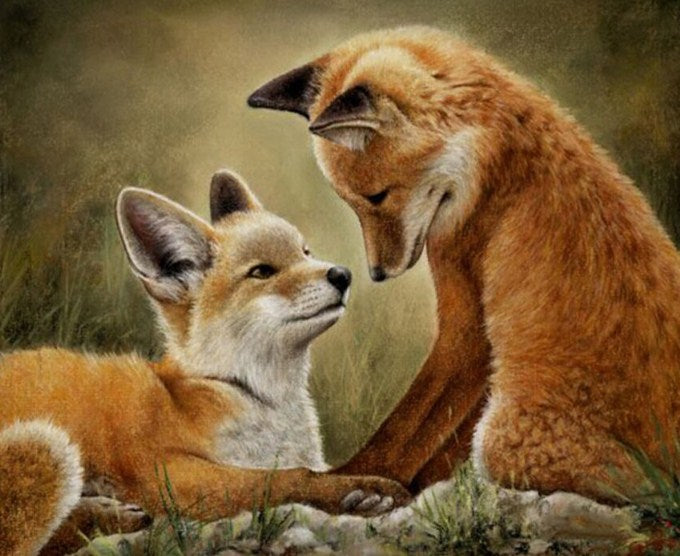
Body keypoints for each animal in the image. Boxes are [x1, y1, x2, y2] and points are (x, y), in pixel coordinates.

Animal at [0, 170, 408, 555]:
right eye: (262, 272)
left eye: (305, 252)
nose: (343, 274)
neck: (254, 396)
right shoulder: (164, 473)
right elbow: (284, 478)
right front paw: (358, 490)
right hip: (50, 446)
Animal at [247, 26, 680, 501]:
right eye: (351, 203)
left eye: (376, 197)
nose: (376, 274)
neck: (497, 154)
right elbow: (435, 439)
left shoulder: (468, 320)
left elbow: (409, 424)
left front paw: (360, 479)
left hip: (502, 443)